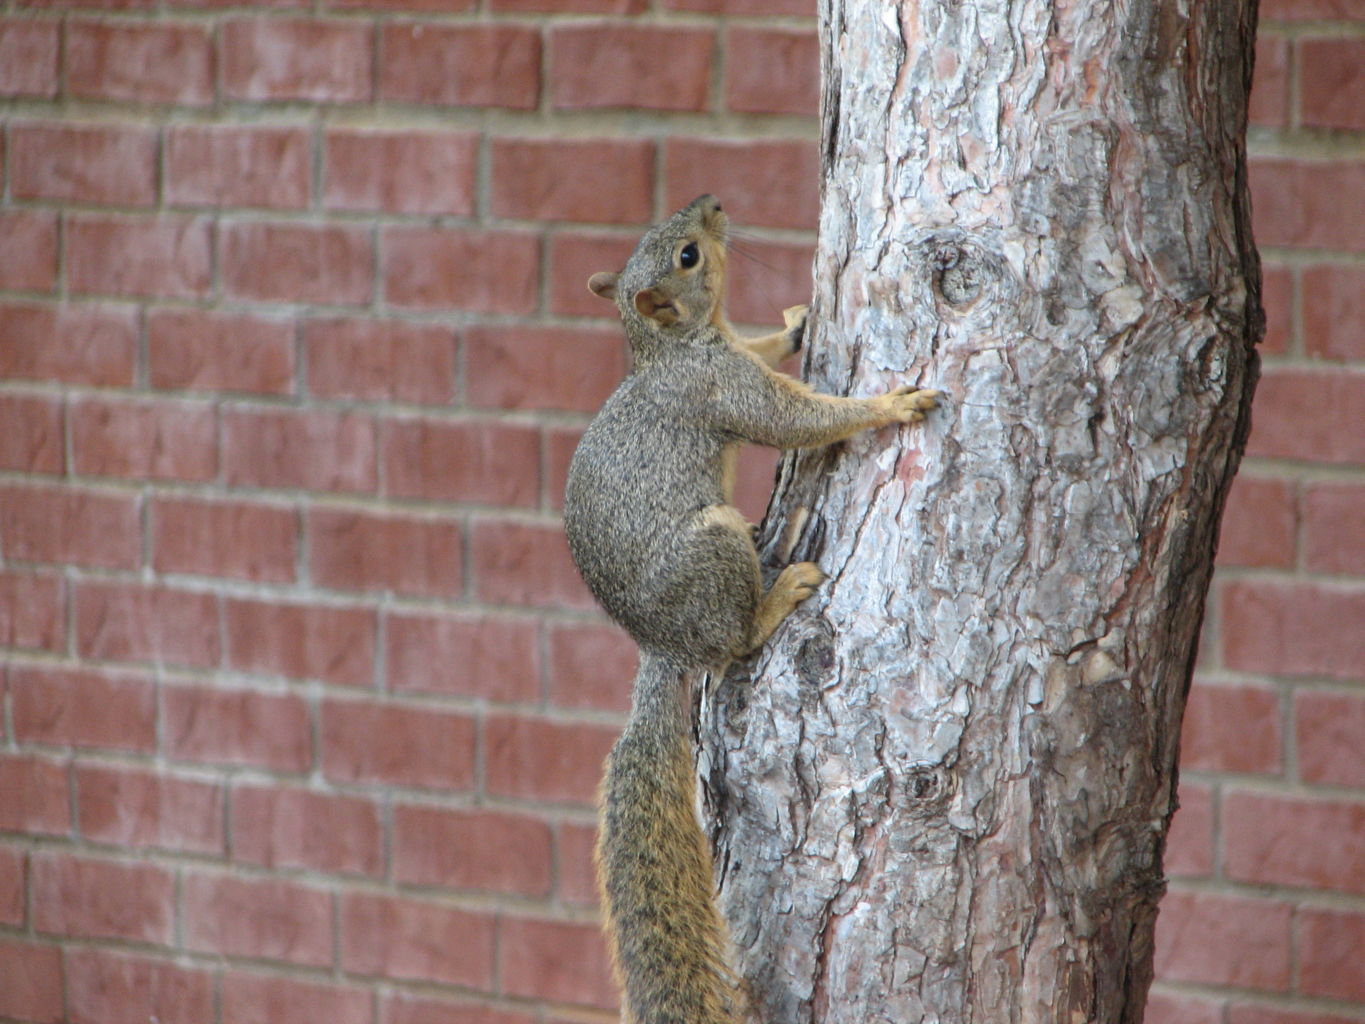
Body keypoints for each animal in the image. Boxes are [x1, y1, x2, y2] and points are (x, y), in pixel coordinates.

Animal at [565, 193, 939, 1024]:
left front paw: (795, 325)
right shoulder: (723, 389)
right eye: (687, 256)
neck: (670, 346)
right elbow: (798, 420)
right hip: (714, 544)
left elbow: (767, 351)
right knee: (735, 643)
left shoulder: (733, 353)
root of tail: (666, 646)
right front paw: (890, 403)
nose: (711, 203)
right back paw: (777, 598)